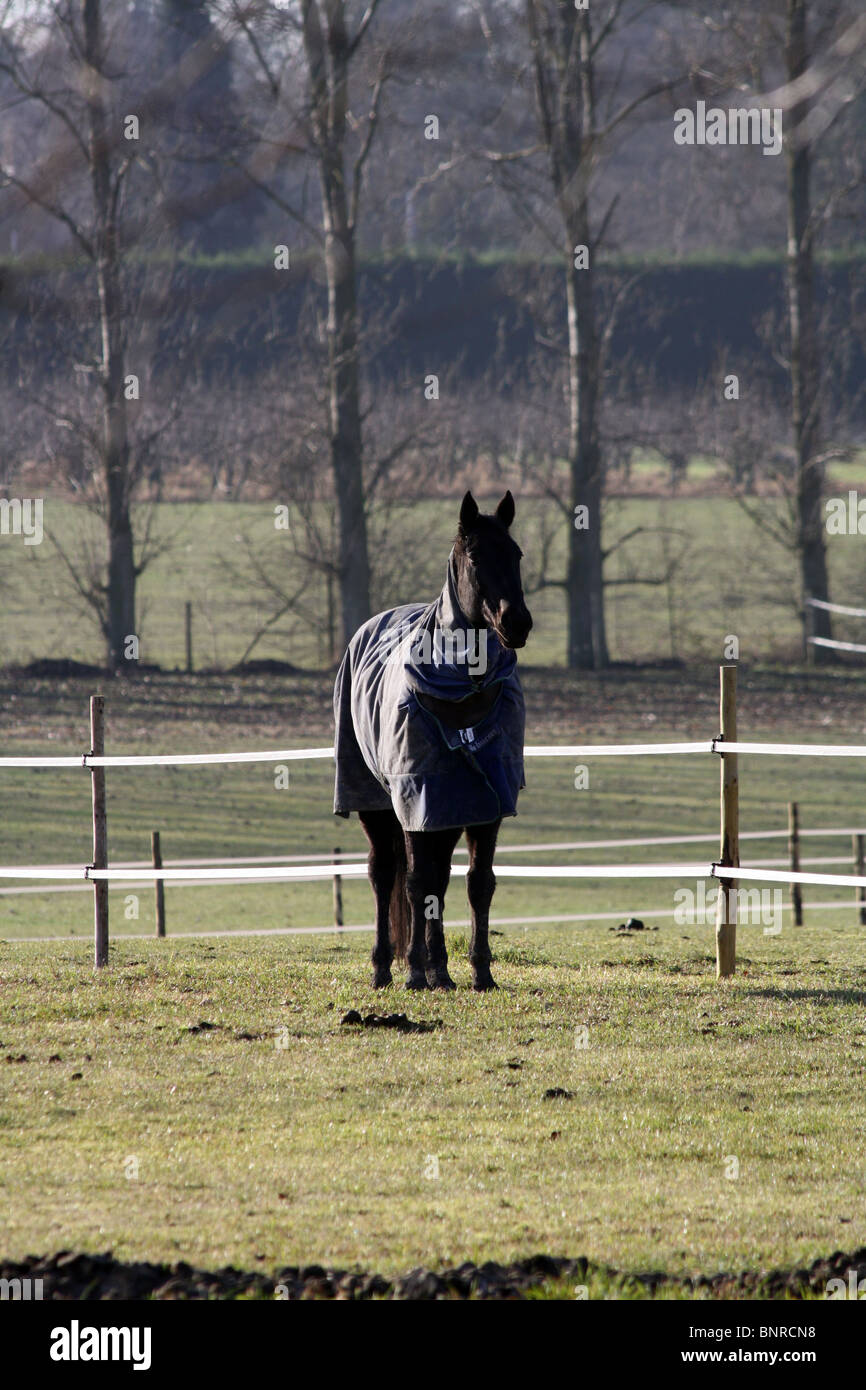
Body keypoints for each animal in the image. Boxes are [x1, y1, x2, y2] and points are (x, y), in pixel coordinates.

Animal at [333, 490, 533, 990]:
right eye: (475, 556)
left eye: (517, 554)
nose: (517, 623)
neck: (461, 697)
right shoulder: (416, 797)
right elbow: (416, 883)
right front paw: (415, 972)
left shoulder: (482, 802)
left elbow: (477, 882)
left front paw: (481, 972)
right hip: (377, 804)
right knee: (386, 876)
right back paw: (388, 967)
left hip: (443, 811)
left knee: (437, 879)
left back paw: (437, 969)